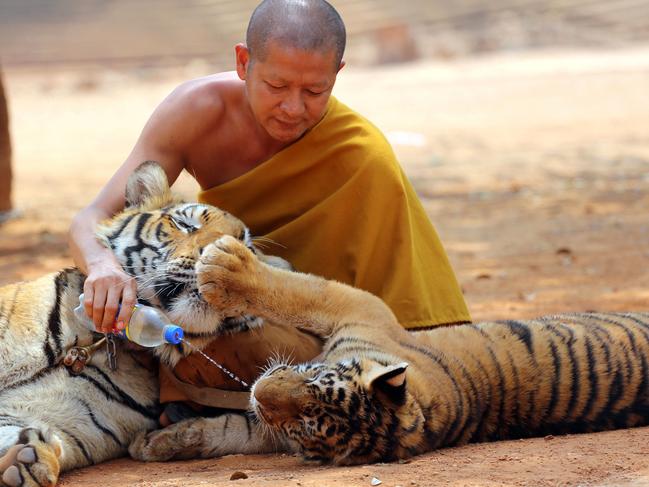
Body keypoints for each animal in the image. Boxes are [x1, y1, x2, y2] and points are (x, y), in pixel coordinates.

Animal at [130, 231, 648, 468]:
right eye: (313, 379)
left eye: (305, 424)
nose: (258, 394)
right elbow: (226, 431)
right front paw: (157, 443)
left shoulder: (358, 307)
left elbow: (298, 290)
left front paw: (226, 266)